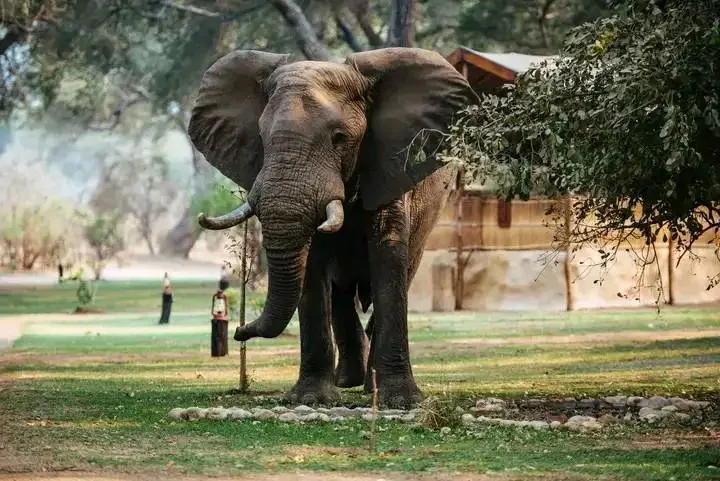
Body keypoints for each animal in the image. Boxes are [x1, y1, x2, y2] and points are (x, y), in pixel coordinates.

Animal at [188, 47, 478, 408]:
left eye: (340, 139)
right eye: (261, 137)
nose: (239, 331)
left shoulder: (389, 166)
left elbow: (387, 259)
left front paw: (402, 401)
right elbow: (312, 267)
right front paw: (310, 398)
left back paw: (368, 386)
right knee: (341, 292)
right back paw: (347, 381)